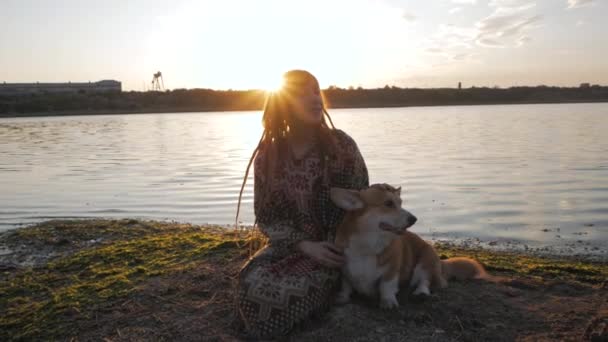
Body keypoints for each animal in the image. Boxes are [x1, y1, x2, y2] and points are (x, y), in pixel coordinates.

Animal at [328, 183, 490, 308]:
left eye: (401, 203)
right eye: (388, 204)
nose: (414, 219)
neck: (368, 245)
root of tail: (441, 263)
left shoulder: (392, 271)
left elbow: (386, 285)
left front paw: (388, 301)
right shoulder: (344, 270)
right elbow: (346, 285)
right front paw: (342, 297)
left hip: (426, 260)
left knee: (425, 281)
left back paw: (421, 293)